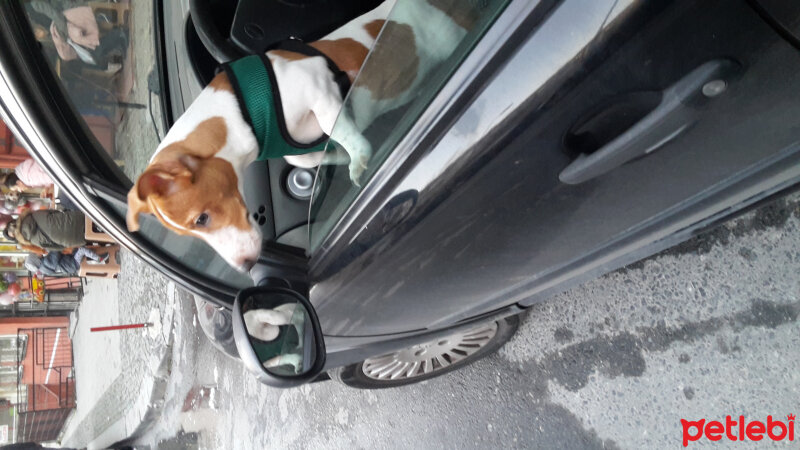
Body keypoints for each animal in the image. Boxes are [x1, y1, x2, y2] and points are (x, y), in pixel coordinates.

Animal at [126, 0, 472, 270]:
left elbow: (339, 128)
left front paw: (357, 157)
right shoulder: (295, 145)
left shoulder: (319, 88)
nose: (246, 267)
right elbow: (305, 158)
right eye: (194, 230)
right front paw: (335, 156)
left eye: (201, 219)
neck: (240, 111)